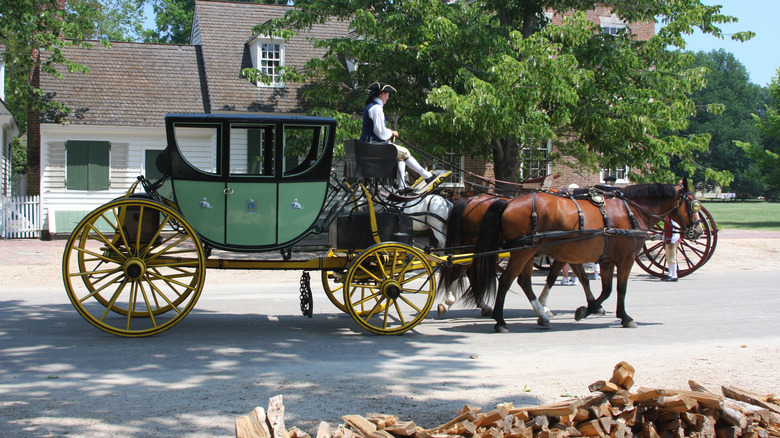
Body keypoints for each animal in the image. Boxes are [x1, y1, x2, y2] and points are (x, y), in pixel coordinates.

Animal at [470, 181, 708, 332]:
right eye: (693, 204)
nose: (697, 231)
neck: (631, 210)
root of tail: (508, 202)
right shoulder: (626, 259)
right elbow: (620, 288)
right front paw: (625, 317)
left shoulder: (606, 260)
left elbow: (605, 288)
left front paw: (588, 309)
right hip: (523, 252)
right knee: (505, 281)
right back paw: (501, 321)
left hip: (528, 252)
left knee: (523, 282)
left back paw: (541, 316)